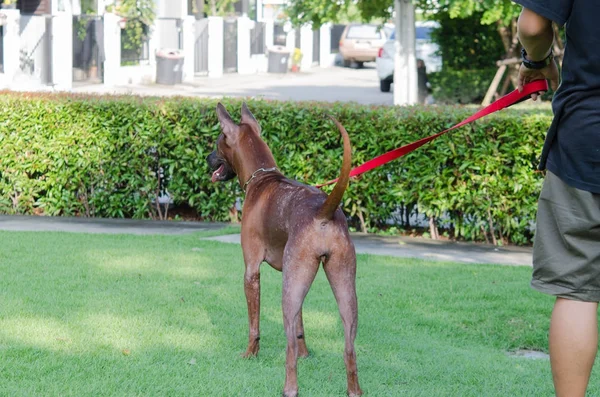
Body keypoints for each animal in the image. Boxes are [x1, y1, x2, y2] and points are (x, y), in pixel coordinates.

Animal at [206, 103, 360, 396]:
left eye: (218, 143)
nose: (207, 158)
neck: (261, 177)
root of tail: (323, 211)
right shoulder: (296, 282)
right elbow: (301, 326)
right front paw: (306, 354)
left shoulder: (252, 271)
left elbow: (254, 325)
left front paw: (250, 354)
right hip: (341, 289)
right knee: (349, 347)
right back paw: (353, 389)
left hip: (291, 288)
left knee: (288, 343)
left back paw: (290, 387)